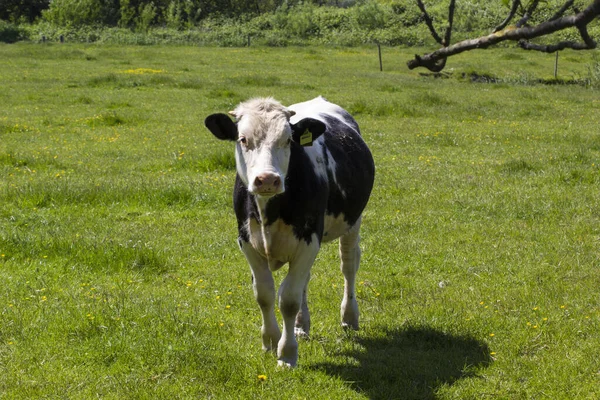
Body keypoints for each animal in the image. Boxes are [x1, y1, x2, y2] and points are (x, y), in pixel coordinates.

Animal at [206, 96, 376, 366]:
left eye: (287, 140)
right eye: (243, 139)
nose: (267, 179)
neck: (270, 212)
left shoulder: (309, 240)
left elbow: (288, 299)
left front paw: (287, 353)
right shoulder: (246, 241)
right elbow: (264, 293)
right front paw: (270, 340)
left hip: (353, 221)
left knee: (348, 265)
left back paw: (349, 317)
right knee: (305, 279)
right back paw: (300, 325)